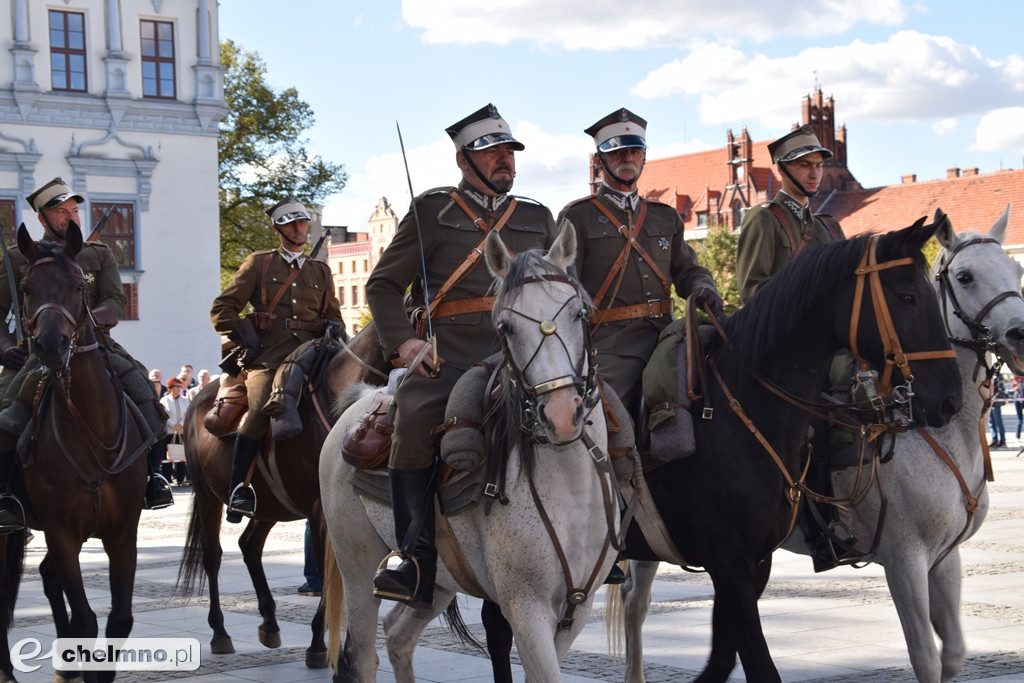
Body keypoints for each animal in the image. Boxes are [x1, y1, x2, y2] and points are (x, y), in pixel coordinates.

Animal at [0, 224, 150, 683]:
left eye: (78, 286)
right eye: (26, 287)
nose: (51, 345)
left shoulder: (124, 532)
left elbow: (120, 619)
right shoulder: (61, 532)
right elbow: (85, 618)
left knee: (47, 578)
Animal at [178, 325, 385, 667]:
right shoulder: (320, 512)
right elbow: (331, 576)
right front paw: (320, 644)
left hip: (269, 505)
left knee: (249, 546)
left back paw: (270, 623)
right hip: (207, 495)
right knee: (213, 556)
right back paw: (220, 632)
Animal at [319, 222, 610, 679]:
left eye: (579, 313)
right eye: (506, 327)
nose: (562, 414)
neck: (571, 488)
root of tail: (363, 402)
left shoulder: (576, 611)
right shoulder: (526, 609)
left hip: (439, 580)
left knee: (398, 635)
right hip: (358, 565)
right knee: (364, 655)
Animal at [614, 205, 1024, 679]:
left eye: (1015, 269)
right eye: (965, 277)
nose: (1020, 334)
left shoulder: (943, 558)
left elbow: (953, 652)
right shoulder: (904, 559)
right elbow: (926, 657)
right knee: (634, 605)